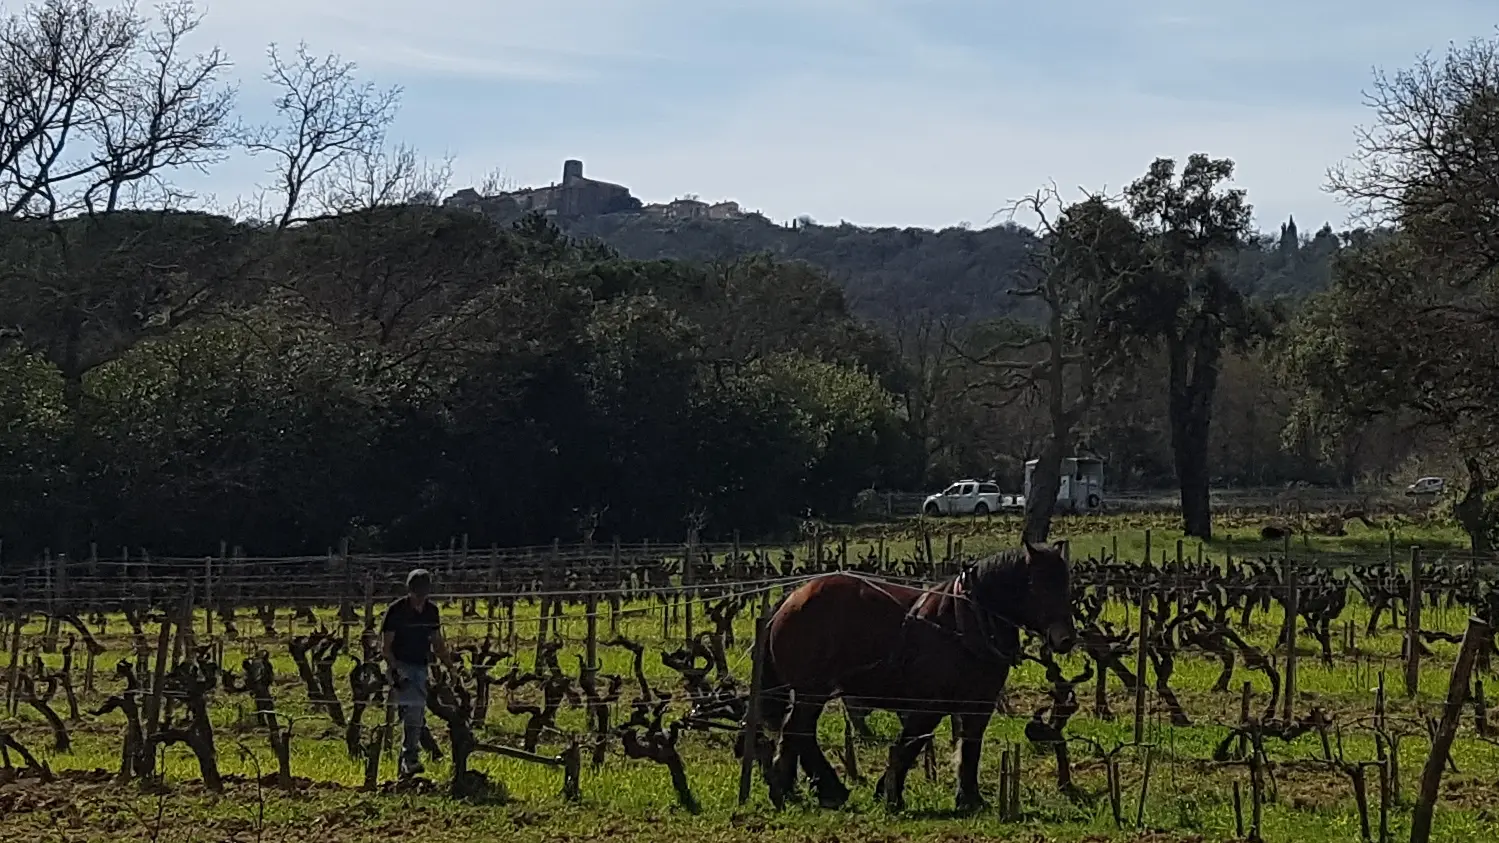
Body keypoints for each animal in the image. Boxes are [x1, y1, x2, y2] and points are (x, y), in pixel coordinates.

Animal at [767, 537, 1073, 810]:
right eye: (1036, 585)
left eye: (1066, 584)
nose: (1066, 638)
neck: (966, 621)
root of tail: (791, 599)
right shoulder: (930, 703)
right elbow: (911, 744)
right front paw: (890, 792)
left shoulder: (979, 703)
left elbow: (969, 747)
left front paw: (970, 798)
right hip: (812, 690)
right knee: (798, 730)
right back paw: (811, 790)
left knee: (797, 732)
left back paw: (804, 789)